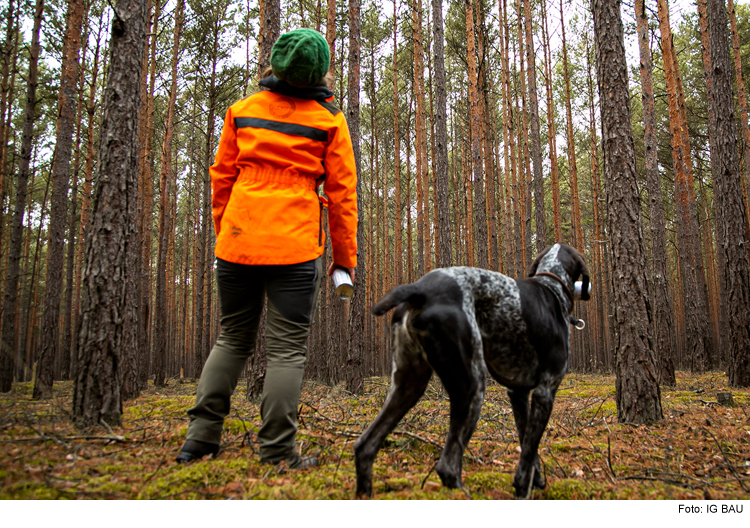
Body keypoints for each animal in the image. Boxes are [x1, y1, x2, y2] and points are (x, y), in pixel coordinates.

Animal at [356, 241, 592, 498]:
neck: (552, 285)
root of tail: (419, 289)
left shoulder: (518, 393)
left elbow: (526, 440)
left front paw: (534, 479)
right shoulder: (545, 391)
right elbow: (530, 447)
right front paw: (522, 486)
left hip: (408, 386)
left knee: (364, 447)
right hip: (472, 386)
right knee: (448, 467)